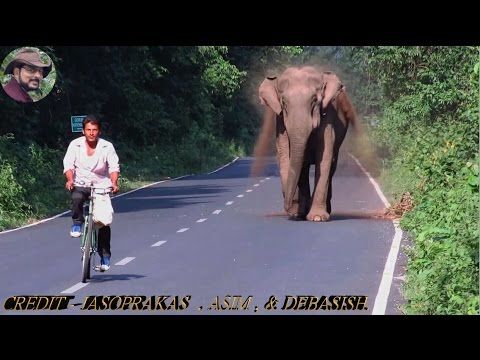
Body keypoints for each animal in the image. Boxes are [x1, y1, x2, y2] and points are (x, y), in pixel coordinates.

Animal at [258, 66, 356, 221]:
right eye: (284, 103)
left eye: (314, 100)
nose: (288, 208)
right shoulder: (280, 122)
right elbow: (285, 157)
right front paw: (296, 213)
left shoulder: (328, 117)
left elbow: (324, 158)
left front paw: (317, 217)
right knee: (303, 168)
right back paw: (302, 212)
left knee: (332, 165)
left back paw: (324, 210)